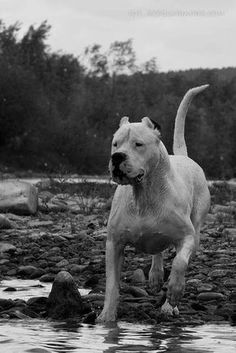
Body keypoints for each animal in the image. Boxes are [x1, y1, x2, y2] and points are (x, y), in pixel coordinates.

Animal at [97, 85, 210, 322]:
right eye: (115, 143)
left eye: (138, 144)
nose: (117, 157)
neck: (144, 195)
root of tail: (184, 157)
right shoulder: (114, 243)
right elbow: (112, 284)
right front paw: (106, 318)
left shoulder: (186, 236)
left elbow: (179, 263)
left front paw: (174, 292)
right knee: (157, 251)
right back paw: (156, 276)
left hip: (196, 230)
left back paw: (169, 303)